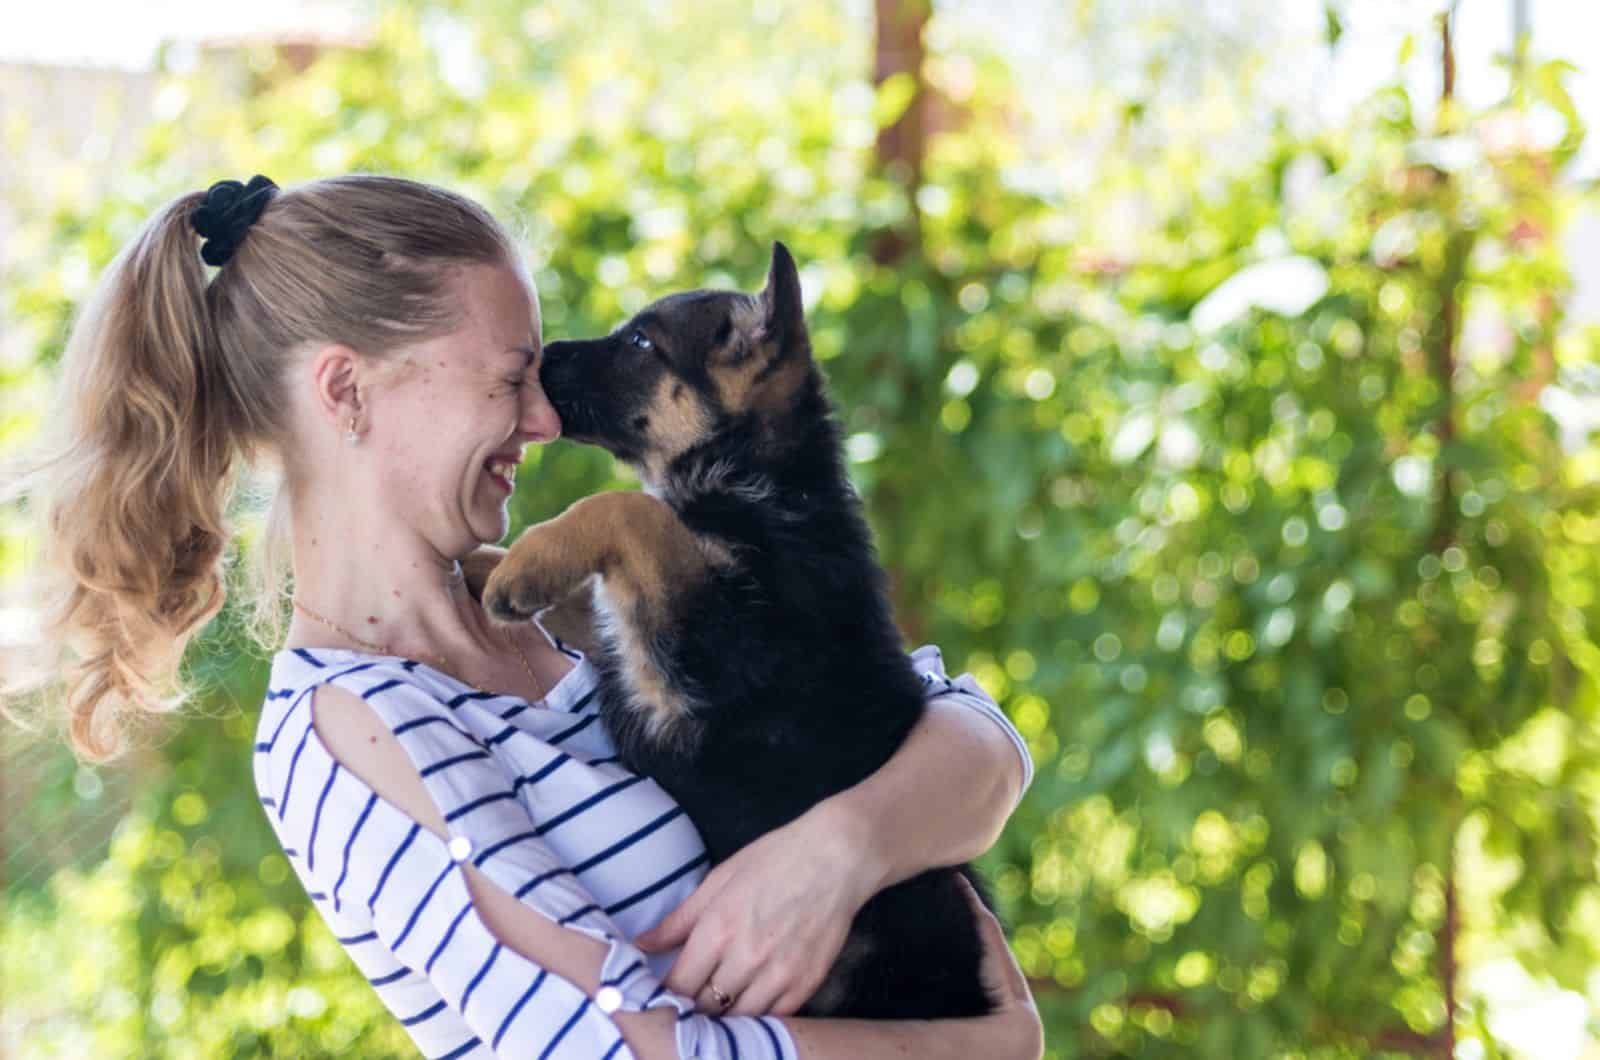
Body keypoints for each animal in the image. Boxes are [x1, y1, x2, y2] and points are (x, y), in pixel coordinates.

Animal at [480, 243, 992, 1024]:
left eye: (640, 343)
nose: (539, 358)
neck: (768, 484)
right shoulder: (637, 641)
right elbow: (612, 571)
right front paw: (485, 563)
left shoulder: (699, 661)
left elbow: (630, 510)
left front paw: (525, 563)